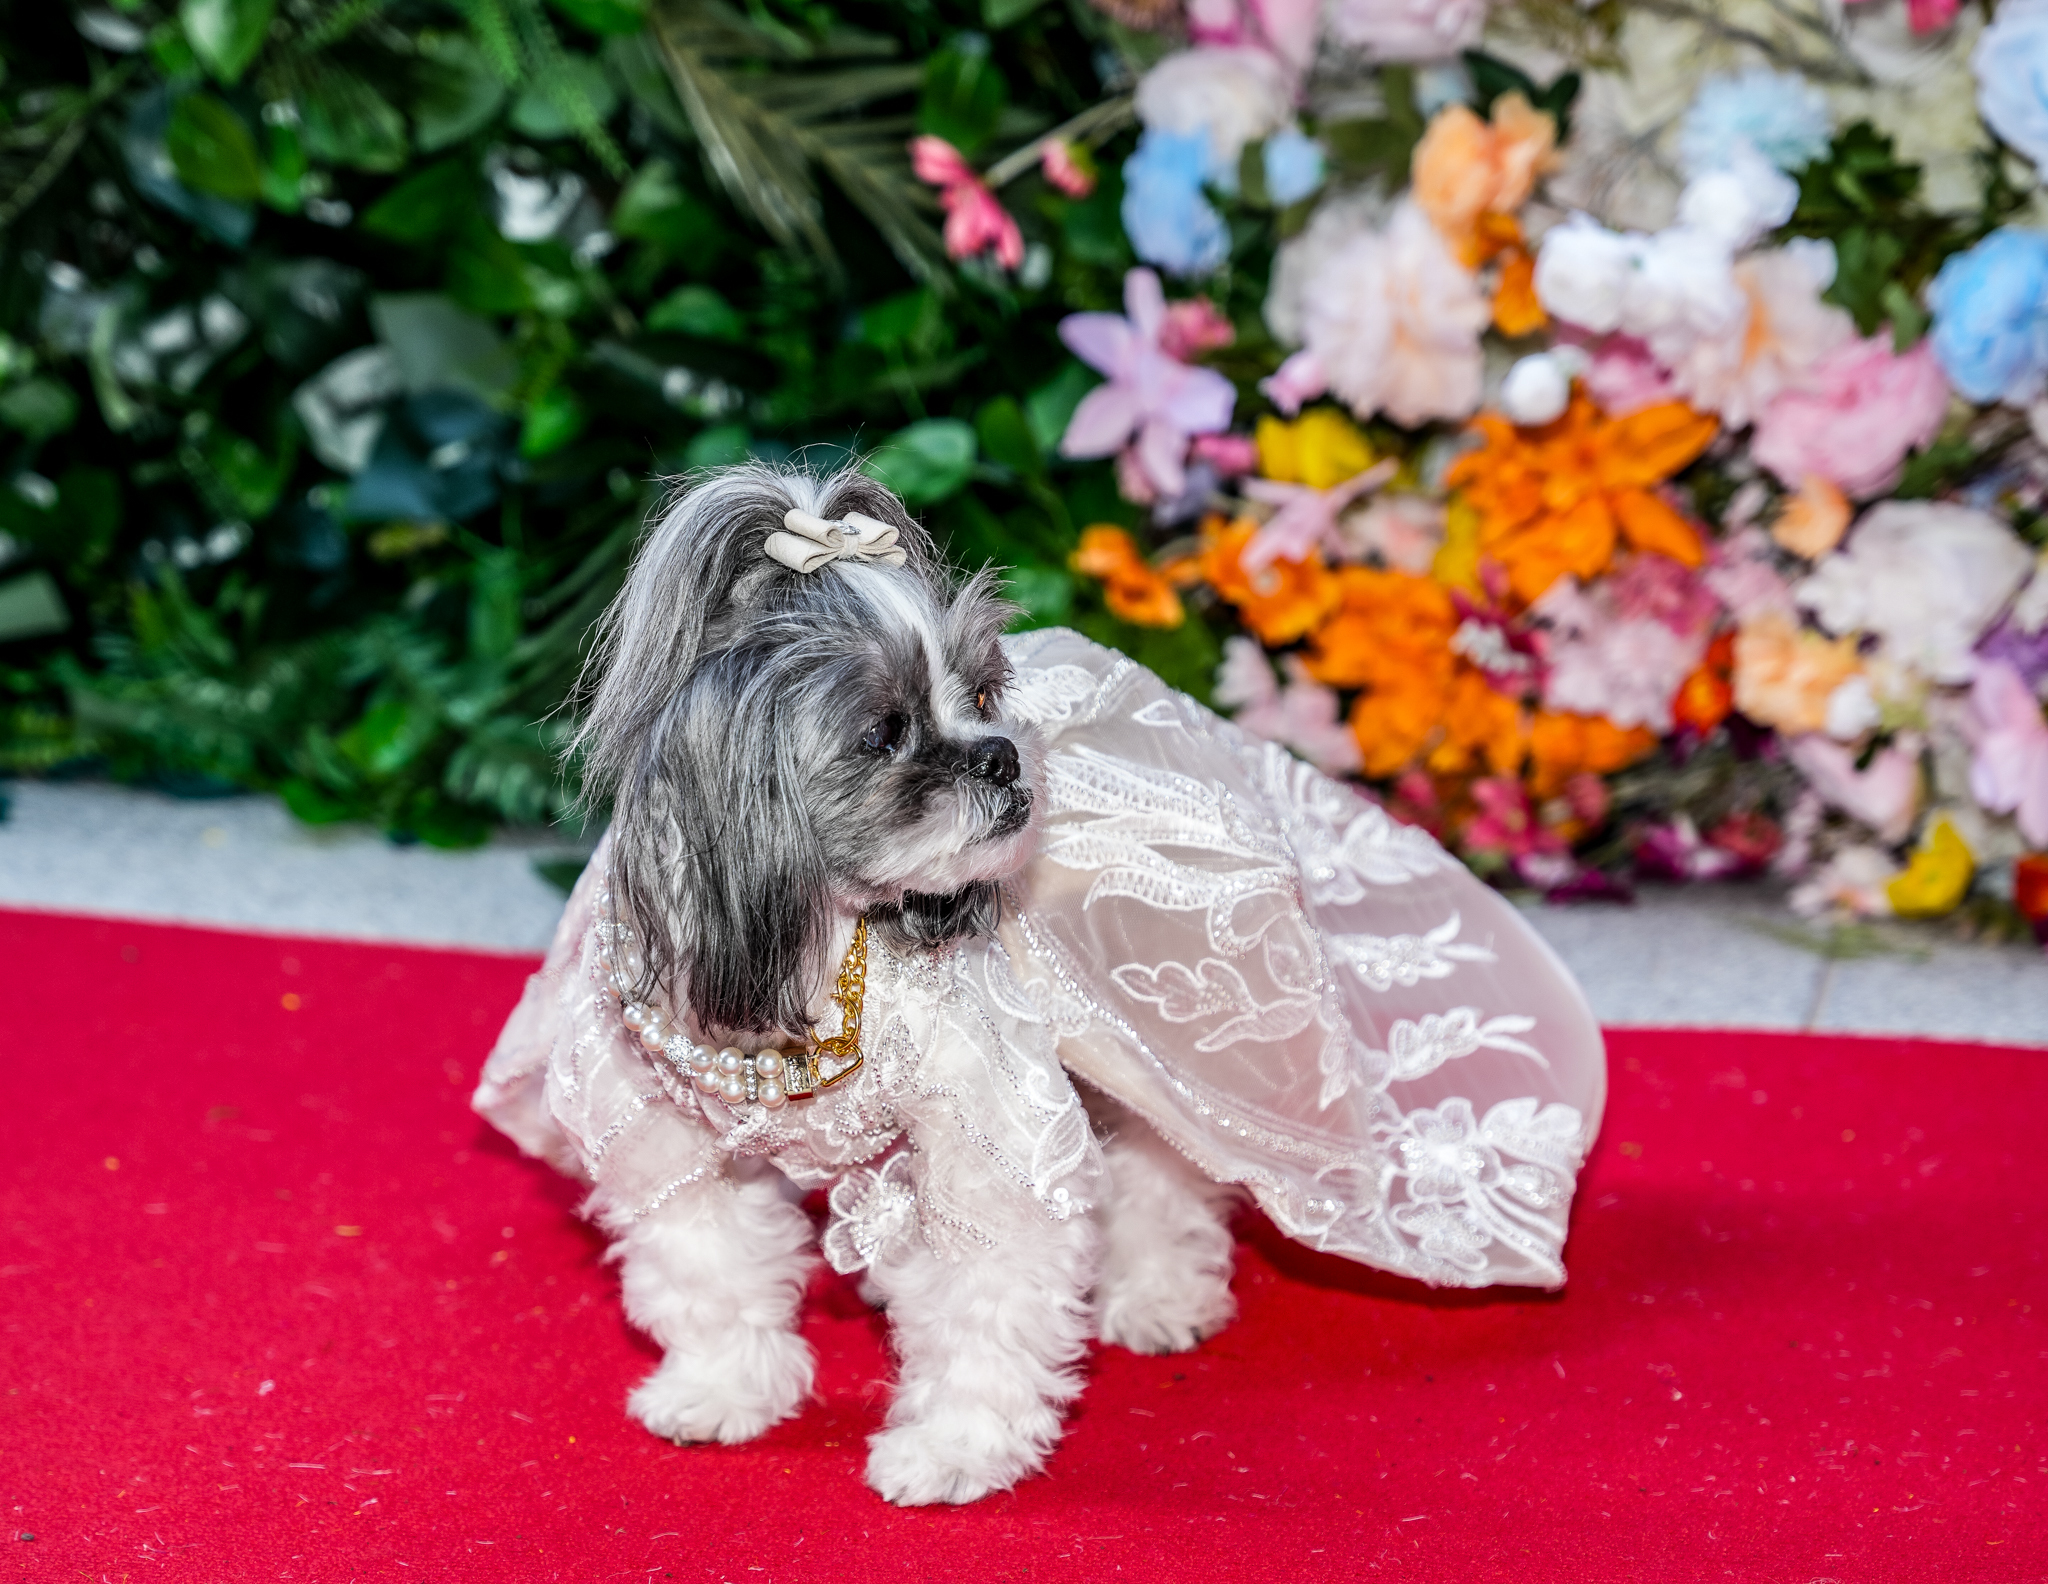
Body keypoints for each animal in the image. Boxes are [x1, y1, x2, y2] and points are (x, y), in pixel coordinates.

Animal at [471, 461, 1605, 1508]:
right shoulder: (660, 1131)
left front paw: (953, 1447)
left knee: (1166, 1162)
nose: (1004, 755)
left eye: (980, 697)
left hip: (1162, 1035)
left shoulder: (991, 1130)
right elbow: (708, 1268)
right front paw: (723, 1388)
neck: (825, 948)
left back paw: (1158, 1293)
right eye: (882, 733)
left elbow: (986, 1301)